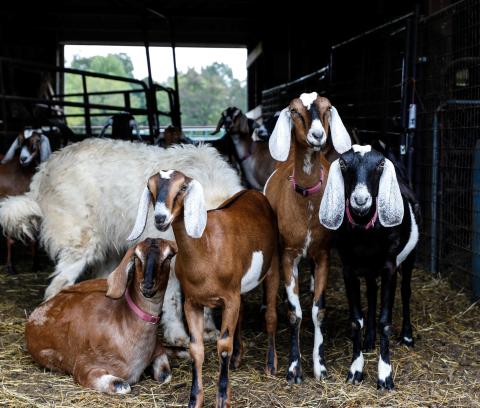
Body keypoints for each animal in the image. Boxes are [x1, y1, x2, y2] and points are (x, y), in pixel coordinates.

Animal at [0, 139, 242, 346]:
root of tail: (44, 170)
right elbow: (172, 302)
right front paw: (178, 336)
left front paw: (208, 330)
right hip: (81, 243)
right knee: (57, 286)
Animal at [24, 237, 178, 394]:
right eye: (137, 256)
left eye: (168, 256)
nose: (147, 285)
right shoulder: (85, 365)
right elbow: (123, 385)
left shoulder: (157, 349)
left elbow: (165, 375)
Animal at [127, 171, 280, 408]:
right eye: (151, 189)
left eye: (182, 188)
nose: (160, 218)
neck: (206, 248)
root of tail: (252, 192)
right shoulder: (193, 302)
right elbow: (196, 349)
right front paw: (195, 399)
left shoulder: (229, 298)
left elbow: (223, 346)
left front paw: (223, 398)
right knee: (243, 313)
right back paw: (238, 358)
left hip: (273, 267)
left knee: (271, 315)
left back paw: (271, 365)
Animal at [264, 92, 350, 382]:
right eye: (294, 111)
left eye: (327, 108)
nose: (317, 135)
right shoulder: (288, 255)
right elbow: (295, 314)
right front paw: (293, 368)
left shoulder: (323, 254)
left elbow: (318, 311)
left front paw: (320, 366)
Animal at [318, 145, 420, 390]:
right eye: (343, 163)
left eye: (380, 164)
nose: (360, 199)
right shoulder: (348, 268)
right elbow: (356, 320)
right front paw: (355, 370)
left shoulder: (389, 266)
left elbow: (385, 321)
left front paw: (385, 376)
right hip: (369, 270)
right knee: (372, 294)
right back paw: (369, 340)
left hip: (409, 256)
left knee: (406, 291)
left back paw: (407, 336)